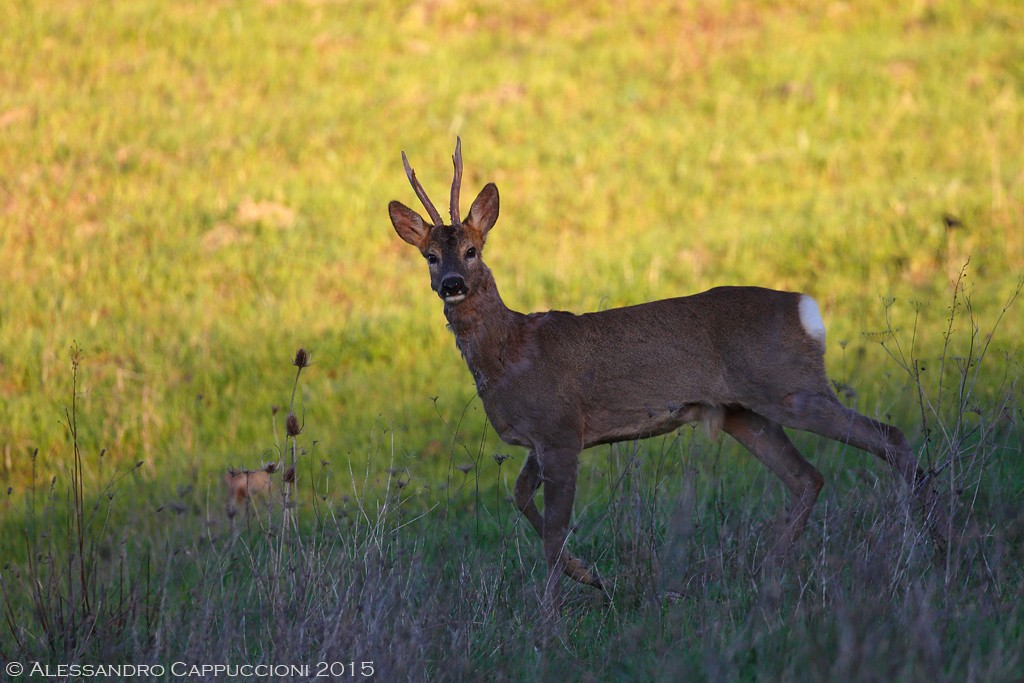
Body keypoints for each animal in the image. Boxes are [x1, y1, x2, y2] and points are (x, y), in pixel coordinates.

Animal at [387, 137, 946, 614]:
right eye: (430, 256)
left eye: (472, 249)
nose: (452, 284)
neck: (511, 351)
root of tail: (806, 308)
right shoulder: (541, 439)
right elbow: (522, 501)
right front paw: (590, 575)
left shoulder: (561, 430)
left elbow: (552, 532)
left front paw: (550, 618)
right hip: (744, 413)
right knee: (808, 476)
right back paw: (767, 571)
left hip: (790, 387)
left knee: (888, 436)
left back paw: (934, 543)